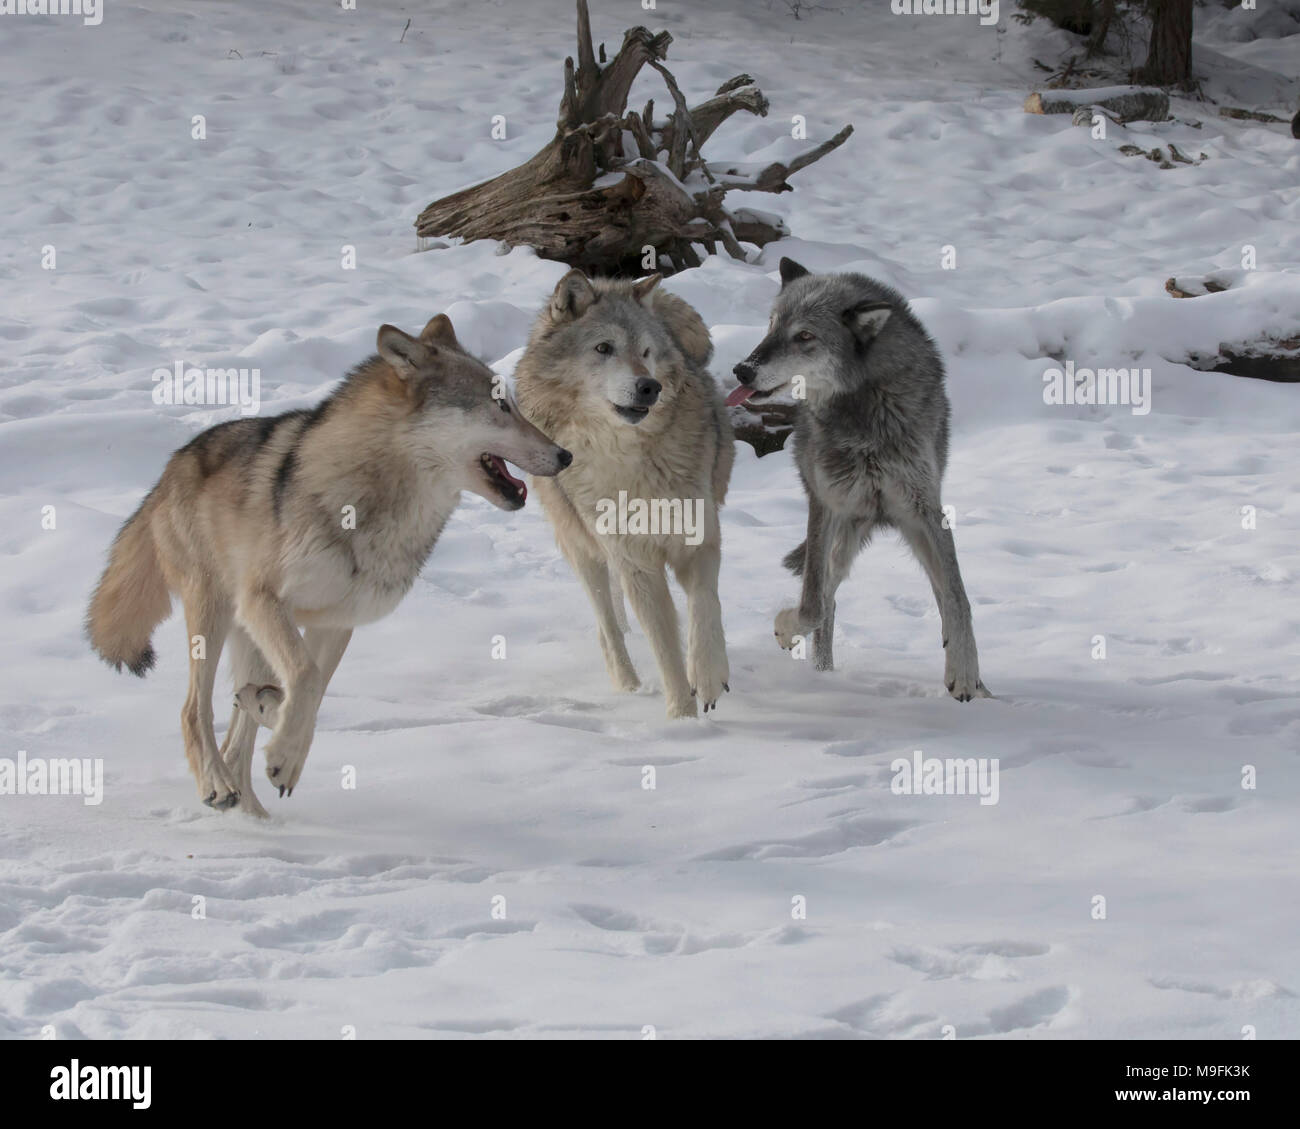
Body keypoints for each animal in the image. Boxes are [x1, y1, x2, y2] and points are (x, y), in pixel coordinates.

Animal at [83, 313, 566, 816]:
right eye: (501, 406)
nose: (565, 455)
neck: (375, 503)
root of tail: (170, 467)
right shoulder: (265, 599)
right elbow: (306, 679)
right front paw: (281, 749)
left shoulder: (334, 622)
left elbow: (311, 692)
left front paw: (278, 735)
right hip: (214, 614)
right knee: (193, 710)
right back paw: (216, 784)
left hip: (249, 636)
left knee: (237, 741)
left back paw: (255, 812)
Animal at [728, 260, 987, 702]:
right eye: (772, 324)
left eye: (805, 336)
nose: (742, 370)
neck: (864, 402)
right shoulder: (826, 504)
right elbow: (811, 605)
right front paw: (784, 627)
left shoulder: (926, 509)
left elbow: (958, 598)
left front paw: (965, 674)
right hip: (843, 535)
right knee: (826, 600)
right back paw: (821, 672)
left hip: (901, 531)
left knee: (937, 593)